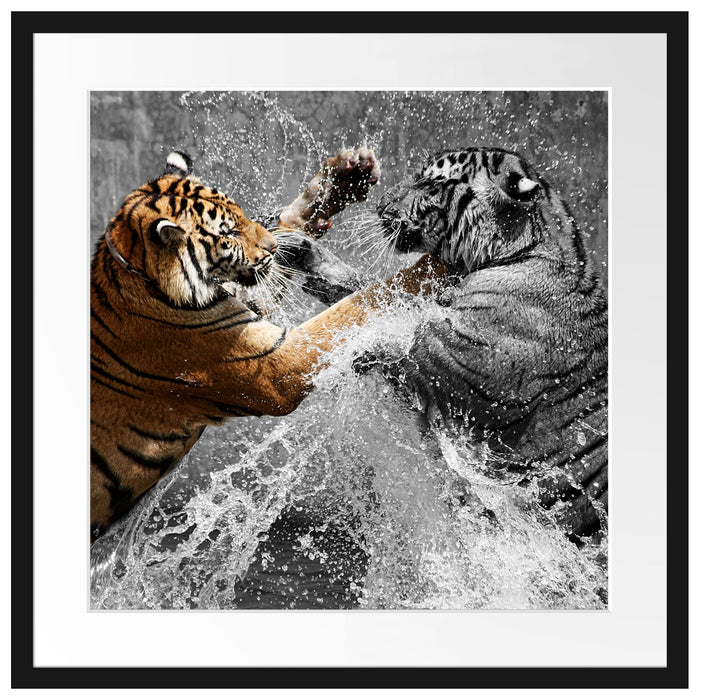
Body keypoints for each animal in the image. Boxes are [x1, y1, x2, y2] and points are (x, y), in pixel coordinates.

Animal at [90, 148, 448, 543]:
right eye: (229, 233)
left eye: (243, 215)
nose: (274, 247)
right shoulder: (276, 366)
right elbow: (352, 306)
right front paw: (430, 268)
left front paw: (344, 176)